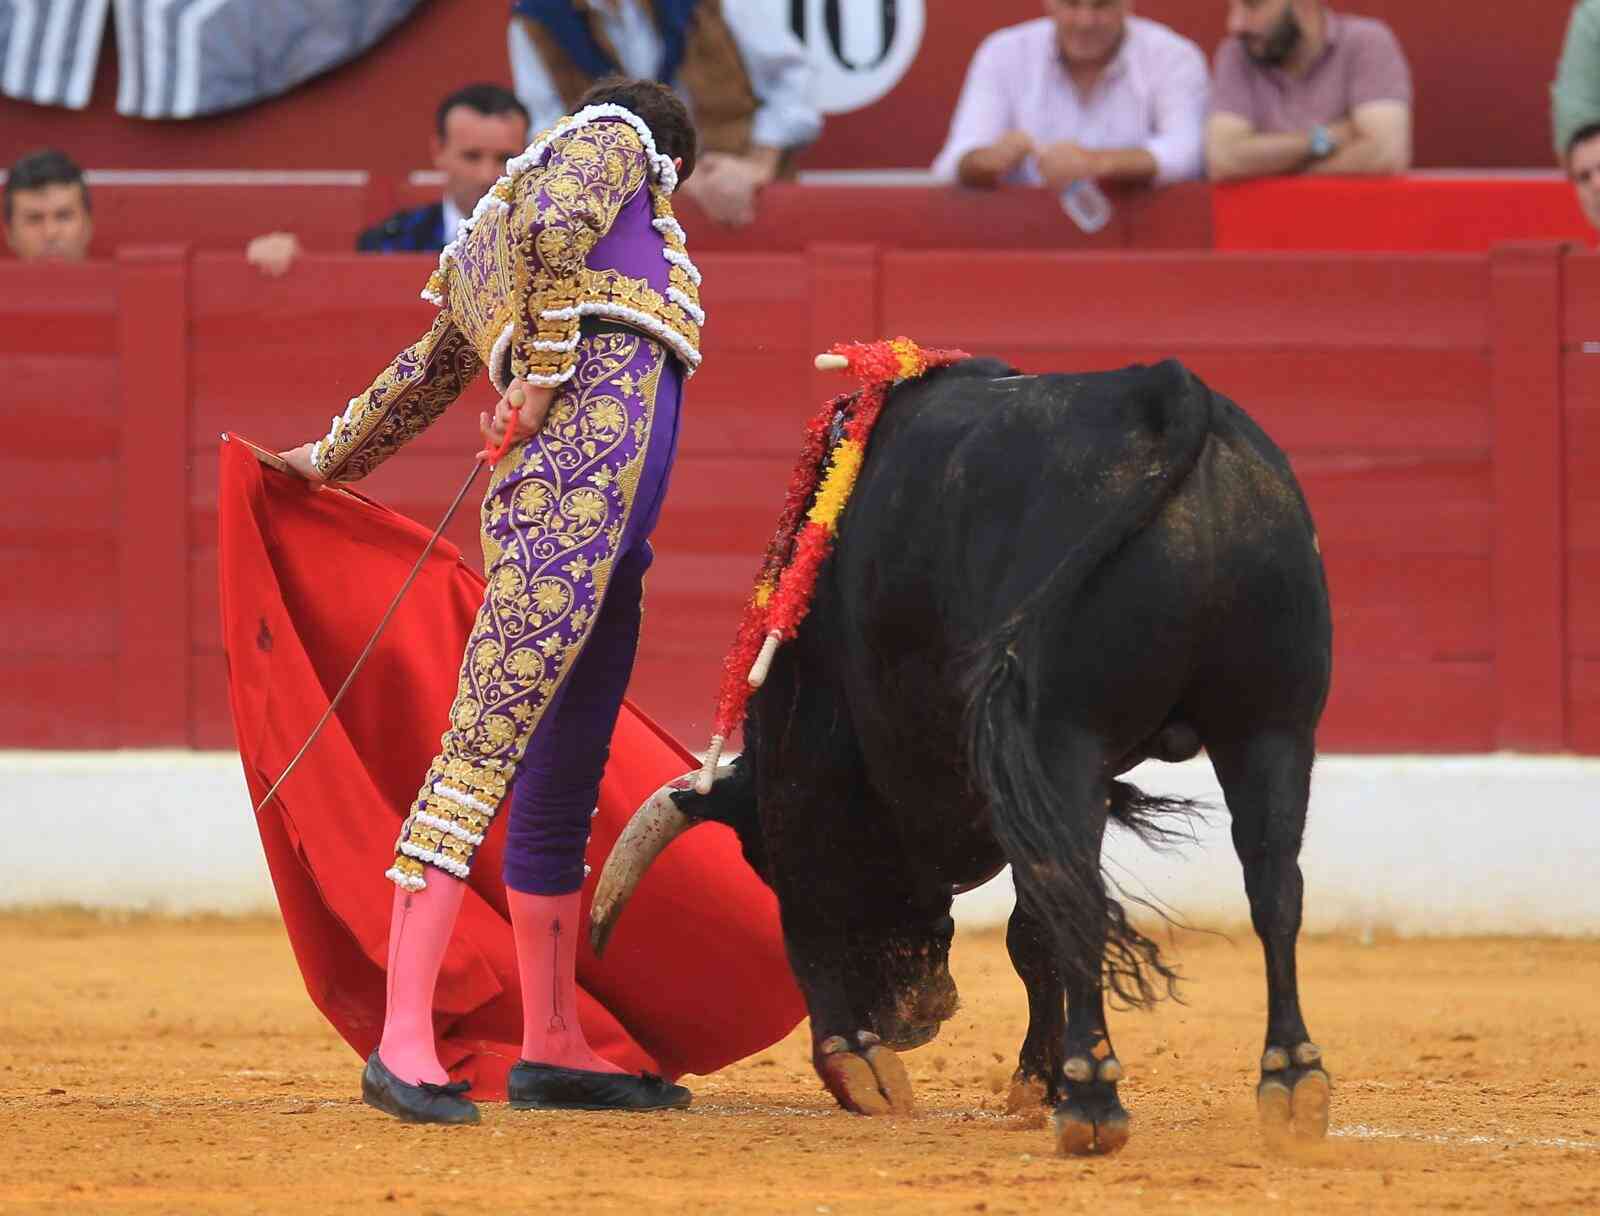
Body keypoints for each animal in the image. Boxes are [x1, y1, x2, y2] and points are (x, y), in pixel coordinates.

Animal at [591, 356, 1333, 1156]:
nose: (910, 1020)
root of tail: (1165, 391)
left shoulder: (810, 770)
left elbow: (812, 908)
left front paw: (858, 1062)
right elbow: (1032, 930)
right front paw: (1035, 1079)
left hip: (1070, 734)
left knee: (1082, 896)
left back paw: (1093, 1100)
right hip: (1273, 727)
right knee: (1273, 885)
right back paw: (1292, 1081)